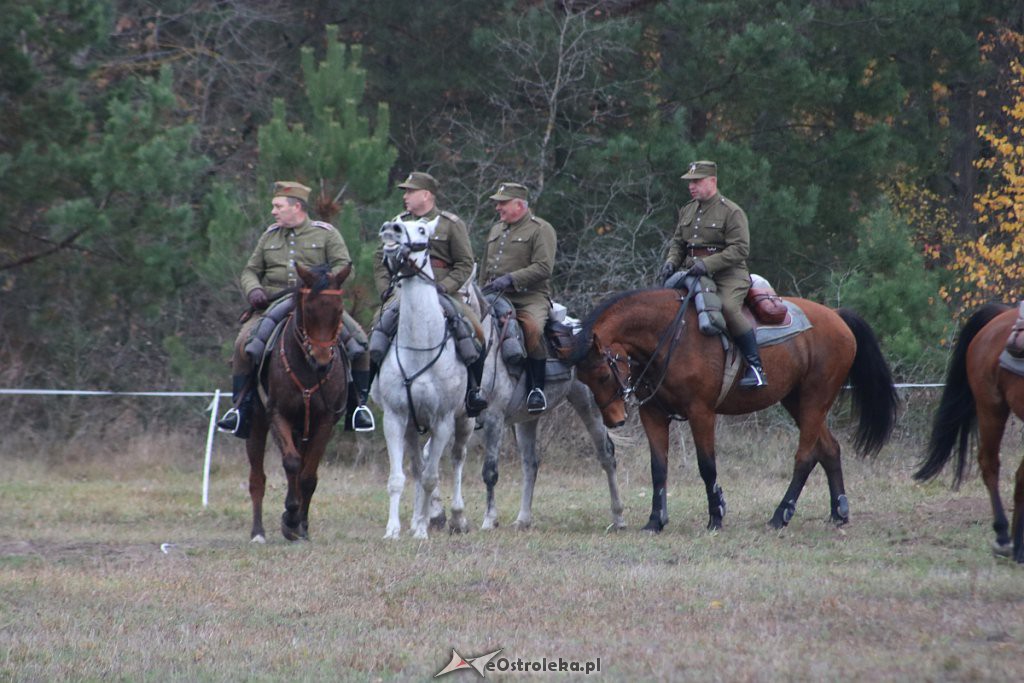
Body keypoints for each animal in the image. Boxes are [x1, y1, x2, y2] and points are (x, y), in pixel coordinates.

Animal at [243, 264, 352, 544]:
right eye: (309, 310)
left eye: (339, 310)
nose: (322, 361)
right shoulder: (277, 415)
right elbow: (291, 463)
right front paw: (290, 516)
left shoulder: (324, 422)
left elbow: (308, 476)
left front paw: (298, 524)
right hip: (257, 424)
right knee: (257, 478)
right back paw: (257, 532)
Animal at [475, 301, 626, 532]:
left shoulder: (493, 417)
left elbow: (489, 472)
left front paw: (489, 520)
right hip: (526, 420)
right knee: (530, 465)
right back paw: (523, 519)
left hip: (588, 407)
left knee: (607, 456)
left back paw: (618, 517)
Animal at [569, 288, 897, 532]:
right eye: (583, 378)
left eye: (602, 375)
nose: (614, 420)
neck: (670, 336)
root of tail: (837, 317)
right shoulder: (653, 415)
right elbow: (658, 468)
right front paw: (655, 521)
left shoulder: (701, 413)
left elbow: (707, 465)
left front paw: (716, 516)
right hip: (797, 402)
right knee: (829, 449)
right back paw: (839, 511)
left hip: (815, 401)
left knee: (805, 457)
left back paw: (781, 515)